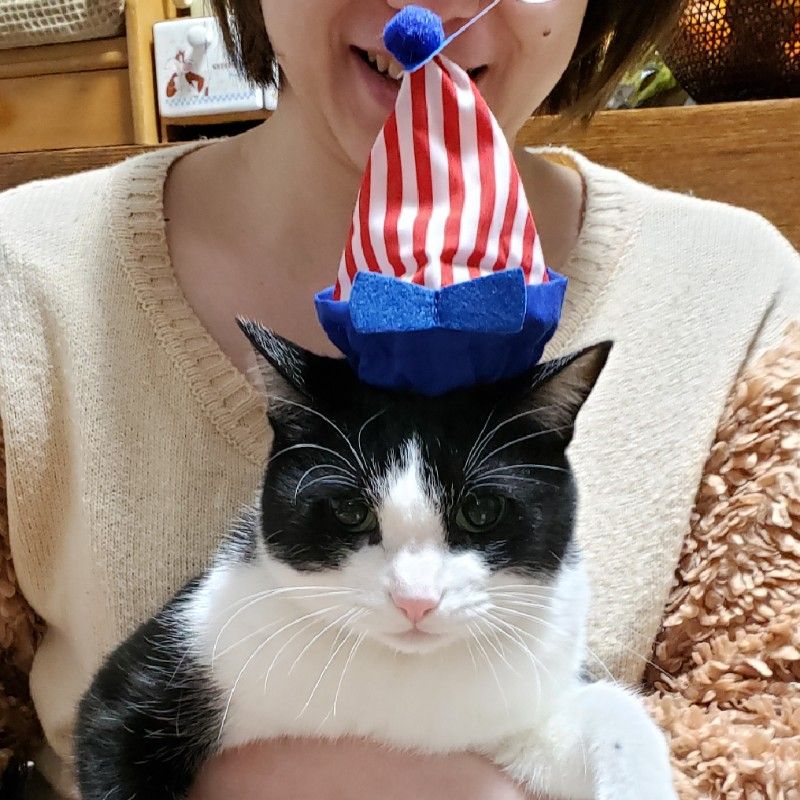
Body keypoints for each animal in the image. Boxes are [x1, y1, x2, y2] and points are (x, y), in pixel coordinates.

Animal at [75, 320, 677, 800]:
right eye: (350, 510)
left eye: (481, 511)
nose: (416, 600)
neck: (393, 677)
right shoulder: (172, 660)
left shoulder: (511, 711)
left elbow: (611, 717)